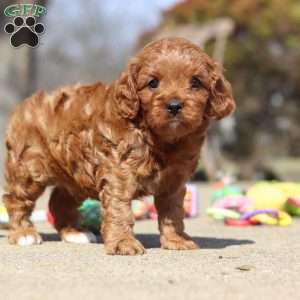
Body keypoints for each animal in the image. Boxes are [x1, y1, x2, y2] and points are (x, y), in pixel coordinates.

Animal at [3, 36, 236, 254]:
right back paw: (23, 234)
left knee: (59, 201)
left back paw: (74, 233)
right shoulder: (118, 172)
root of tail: (26, 103)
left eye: (196, 82)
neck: (160, 138)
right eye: (153, 83)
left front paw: (176, 240)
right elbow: (120, 210)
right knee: (16, 199)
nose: (174, 105)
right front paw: (123, 243)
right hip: (28, 168)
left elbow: (173, 212)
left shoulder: (174, 181)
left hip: (76, 175)